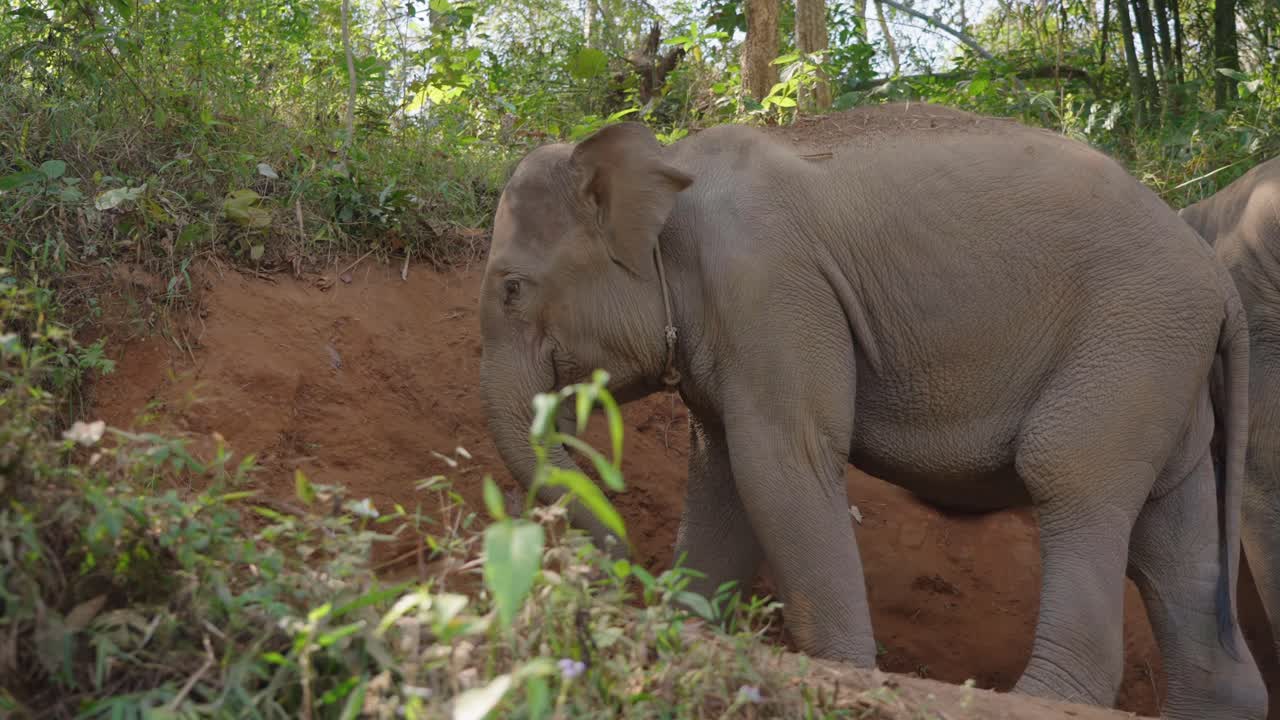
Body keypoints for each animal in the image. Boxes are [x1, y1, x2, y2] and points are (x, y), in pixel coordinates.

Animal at [477, 102, 1266, 719]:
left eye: (512, 289)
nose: (613, 569)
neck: (670, 163)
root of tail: (1216, 277)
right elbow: (722, 478)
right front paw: (682, 634)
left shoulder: (770, 285)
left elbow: (780, 463)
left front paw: (842, 674)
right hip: (1165, 365)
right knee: (1171, 534)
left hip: (1131, 338)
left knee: (1069, 474)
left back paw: (1037, 698)